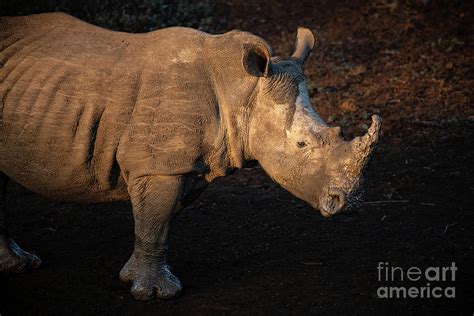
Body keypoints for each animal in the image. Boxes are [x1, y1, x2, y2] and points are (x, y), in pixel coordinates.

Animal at [0, 12, 380, 298]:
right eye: (302, 145)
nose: (350, 201)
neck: (241, 91)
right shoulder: (161, 164)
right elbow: (155, 222)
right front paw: (157, 294)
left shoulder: (182, 165)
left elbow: (157, 220)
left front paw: (131, 276)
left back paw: (17, 265)